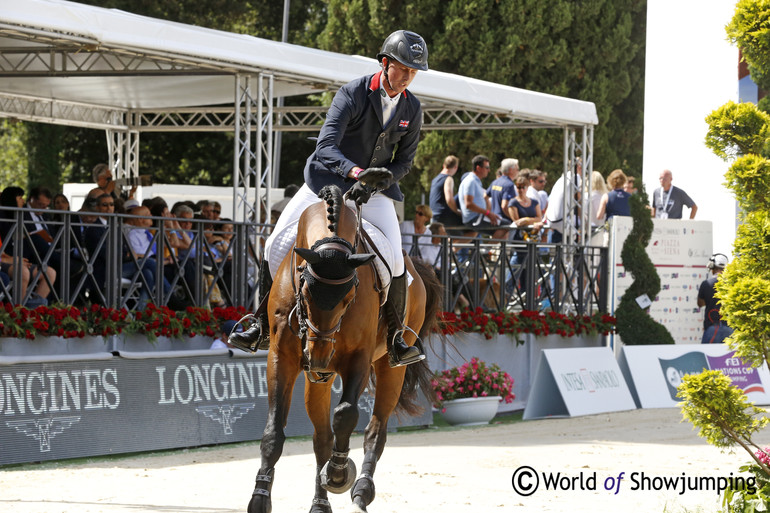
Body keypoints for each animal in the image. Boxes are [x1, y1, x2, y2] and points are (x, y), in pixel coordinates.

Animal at [249, 184, 440, 512]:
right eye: (303, 290)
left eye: (350, 296)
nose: (318, 357)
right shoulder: (281, 358)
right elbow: (273, 431)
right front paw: (260, 498)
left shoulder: (358, 360)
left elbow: (346, 414)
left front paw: (338, 474)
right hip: (318, 381)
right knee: (322, 438)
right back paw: (319, 503)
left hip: (390, 367)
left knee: (375, 430)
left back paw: (361, 490)